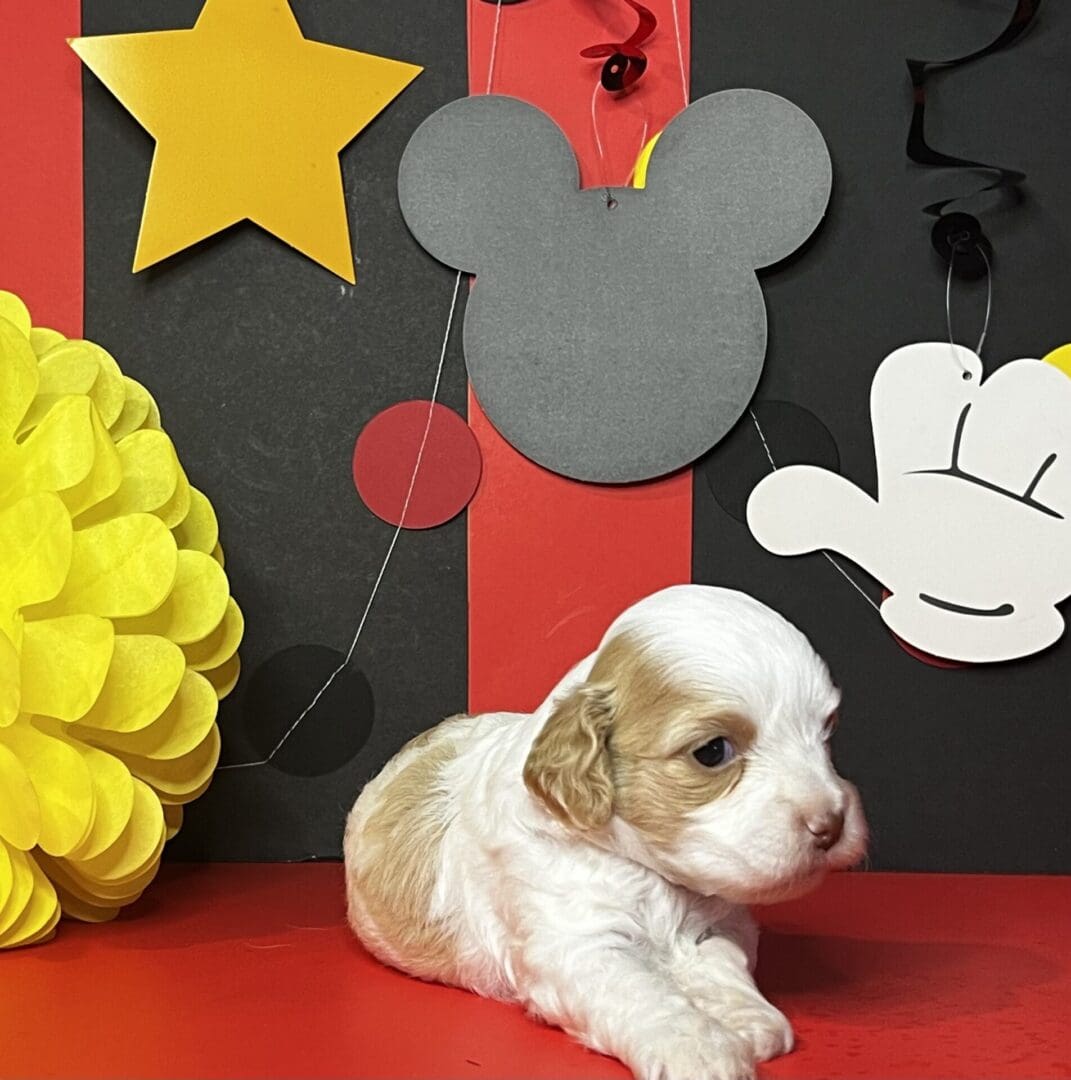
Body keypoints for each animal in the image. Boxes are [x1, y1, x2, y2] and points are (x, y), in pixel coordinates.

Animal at [347, 591, 868, 1080]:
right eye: (712, 751)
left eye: (826, 734)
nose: (831, 823)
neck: (655, 878)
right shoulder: (576, 945)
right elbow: (641, 992)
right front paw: (698, 1047)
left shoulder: (725, 924)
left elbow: (722, 962)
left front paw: (747, 1018)